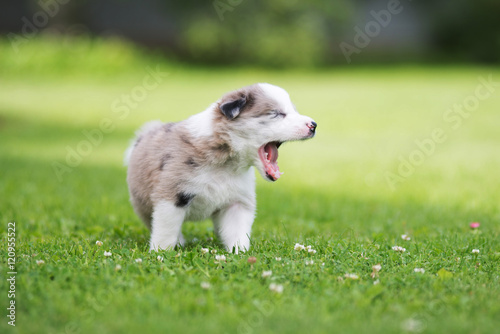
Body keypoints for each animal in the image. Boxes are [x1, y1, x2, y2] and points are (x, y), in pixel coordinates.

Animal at [127, 83, 318, 253]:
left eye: (294, 111)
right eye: (276, 114)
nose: (314, 125)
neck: (227, 163)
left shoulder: (238, 202)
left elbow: (238, 232)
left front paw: (239, 253)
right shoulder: (172, 195)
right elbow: (166, 230)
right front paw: (160, 253)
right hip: (142, 202)